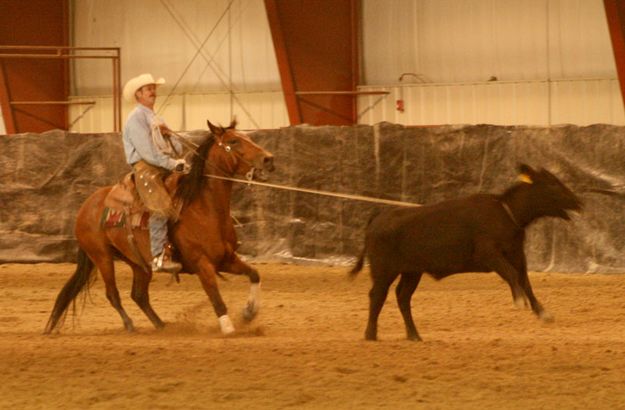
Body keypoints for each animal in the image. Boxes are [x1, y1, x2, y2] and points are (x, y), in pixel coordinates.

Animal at [45, 119, 274, 336]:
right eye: (233, 141)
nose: (269, 158)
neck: (204, 208)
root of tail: (85, 207)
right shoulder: (202, 264)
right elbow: (215, 297)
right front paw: (228, 329)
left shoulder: (226, 259)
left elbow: (254, 274)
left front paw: (249, 312)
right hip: (102, 257)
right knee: (113, 294)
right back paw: (130, 325)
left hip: (138, 262)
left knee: (139, 295)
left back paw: (161, 326)